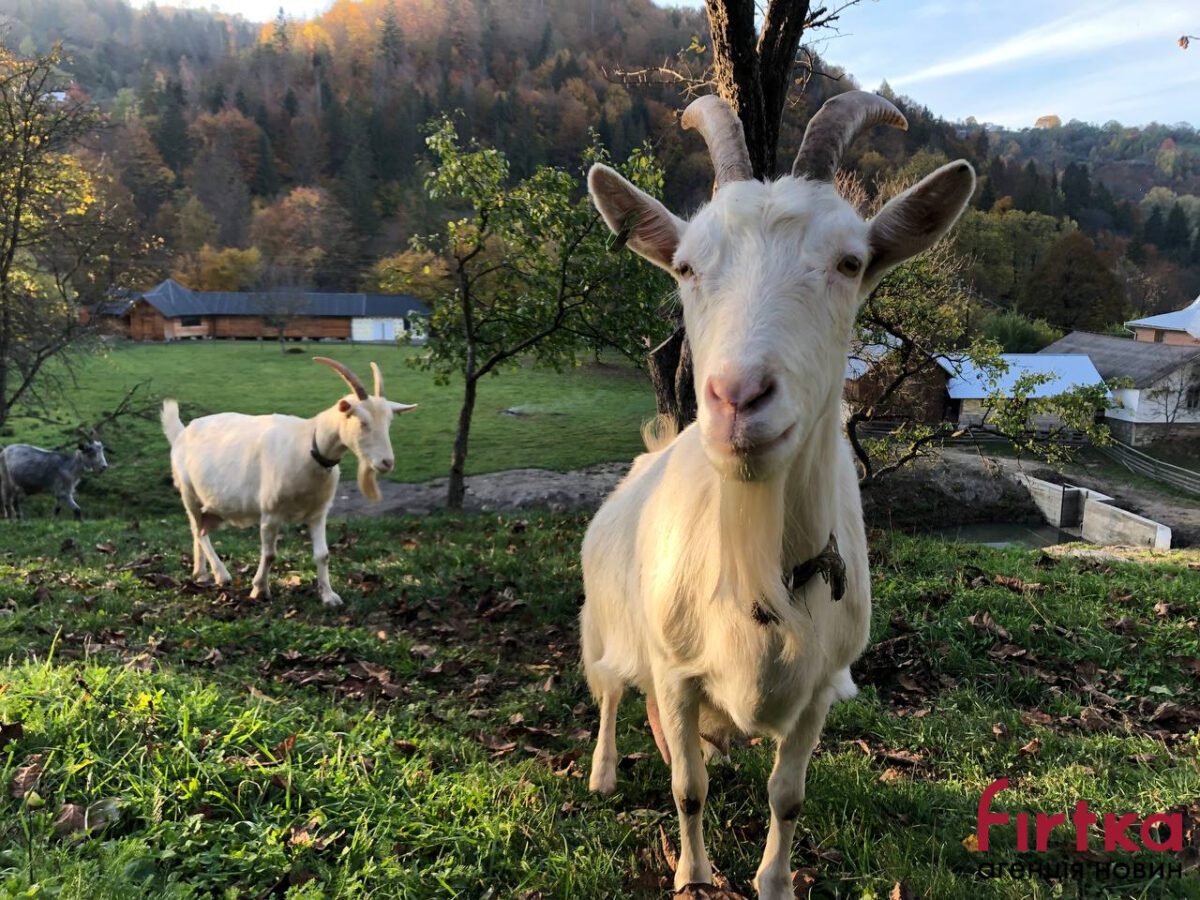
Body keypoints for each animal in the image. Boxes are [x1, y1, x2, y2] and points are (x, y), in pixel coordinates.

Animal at [163, 357, 417, 607]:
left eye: (389, 422)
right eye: (362, 422)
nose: (387, 462)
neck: (308, 444)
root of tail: (182, 432)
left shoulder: (318, 513)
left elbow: (323, 554)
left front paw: (329, 596)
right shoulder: (270, 513)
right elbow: (269, 554)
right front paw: (259, 590)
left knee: (198, 529)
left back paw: (201, 574)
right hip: (188, 492)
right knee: (199, 531)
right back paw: (220, 574)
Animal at [580, 91, 974, 897]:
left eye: (851, 263)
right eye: (686, 267)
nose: (737, 397)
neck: (759, 558)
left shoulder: (819, 687)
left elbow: (787, 796)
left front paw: (775, 881)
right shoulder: (676, 671)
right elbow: (688, 789)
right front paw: (694, 878)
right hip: (605, 623)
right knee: (608, 689)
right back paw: (603, 774)